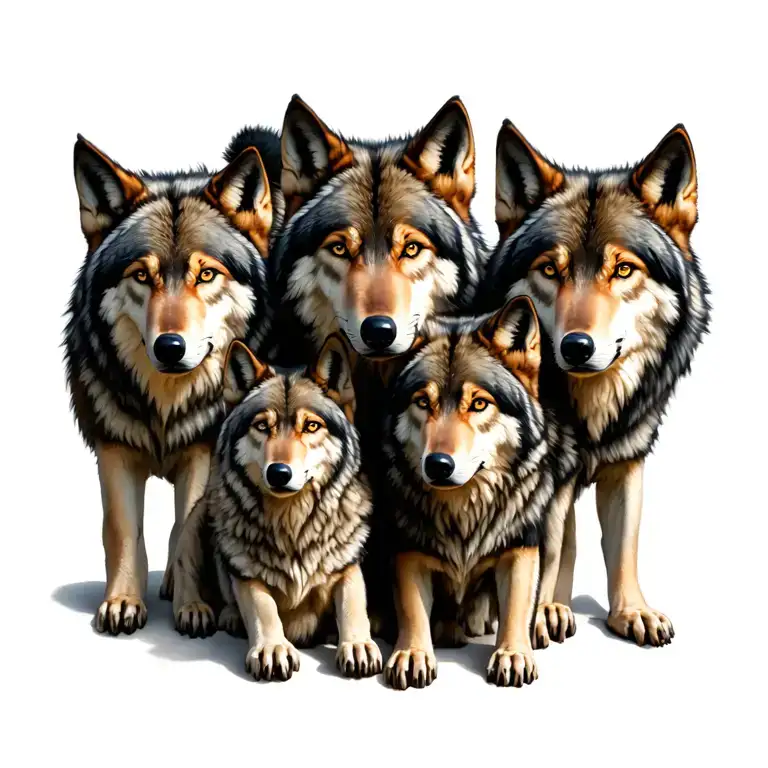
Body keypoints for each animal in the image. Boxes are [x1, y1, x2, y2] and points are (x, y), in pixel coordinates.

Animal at [65, 132, 279, 635]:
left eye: (207, 274)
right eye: (143, 275)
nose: (170, 347)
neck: (165, 404)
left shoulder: (202, 451)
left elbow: (186, 531)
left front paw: (193, 609)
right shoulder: (114, 448)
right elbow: (123, 532)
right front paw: (123, 603)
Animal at [172, 336, 381, 682]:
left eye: (311, 426)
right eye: (261, 426)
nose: (279, 473)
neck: (292, 526)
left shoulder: (347, 567)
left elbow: (353, 605)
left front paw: (358, 645)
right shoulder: (246, 576)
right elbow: (264, 609)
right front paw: (273, 648)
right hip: (199, 519)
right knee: (185, 570)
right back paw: (198, 610)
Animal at [378, 297, 579, 689]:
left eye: (479, 404)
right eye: (422, 402)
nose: (438, 464)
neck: (463, 514)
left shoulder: (520, 545)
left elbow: (517, 604)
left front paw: (513, 654)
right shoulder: (408, 546)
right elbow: (411, 608)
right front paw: (412, 653)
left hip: (553, 515)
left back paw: (543, 619)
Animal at [482, 121, 711, 647]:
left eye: (623, 269)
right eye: (550, 269)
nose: (576, 347)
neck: (589, 413)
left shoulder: (627, 460)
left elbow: (622, 543)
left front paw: (632, 613)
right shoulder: (546, 474)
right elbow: (552, 547)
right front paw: (539, 615)